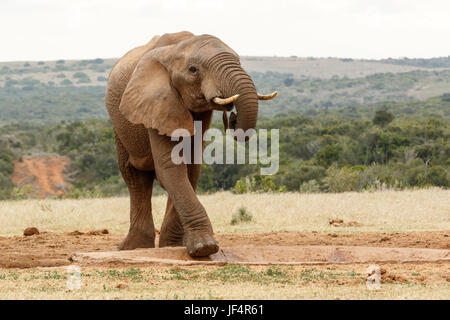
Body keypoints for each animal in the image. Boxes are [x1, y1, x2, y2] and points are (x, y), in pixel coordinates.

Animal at [106, 31, 278, 258]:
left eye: (239, 62)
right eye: (193, 70)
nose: (232, 117)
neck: (175, 49)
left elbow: (191, 168)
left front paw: (175, 246)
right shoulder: (157, 103)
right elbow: (171, 167)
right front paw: (205, 248)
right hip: (120, 125)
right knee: (135, 177)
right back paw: (133, 247)